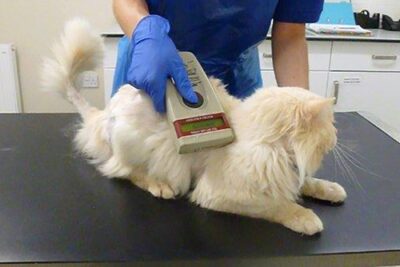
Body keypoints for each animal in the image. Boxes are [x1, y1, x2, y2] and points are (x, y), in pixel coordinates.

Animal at [41, 18, 346, 236]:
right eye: (331, 126)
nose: (337, 136)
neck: (272, 148)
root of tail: (103, 114)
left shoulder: (291, 173)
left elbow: (308, 183)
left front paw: (332, 190)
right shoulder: (220, 194)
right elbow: (278, 205)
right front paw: (306, 218)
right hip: (132, 145)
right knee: (123, 171)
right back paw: (160, 186)